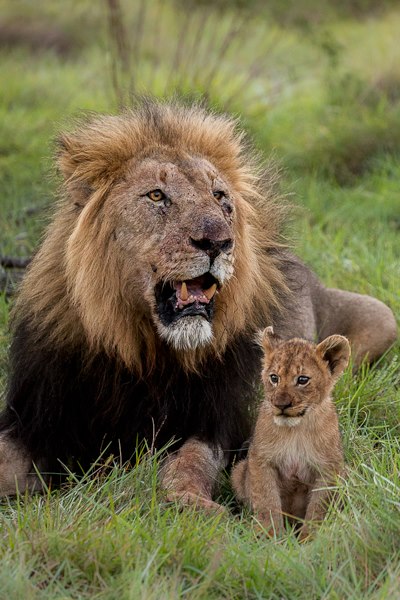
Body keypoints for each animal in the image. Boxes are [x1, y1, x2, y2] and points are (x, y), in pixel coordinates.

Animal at [0, 99, 396, 506]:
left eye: (219, 197)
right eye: (157, 196)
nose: (218, 242)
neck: (141, 350)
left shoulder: (215, 422)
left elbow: (189, 466)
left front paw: (197, 505)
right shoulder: (33, 421)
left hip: (382, 317)